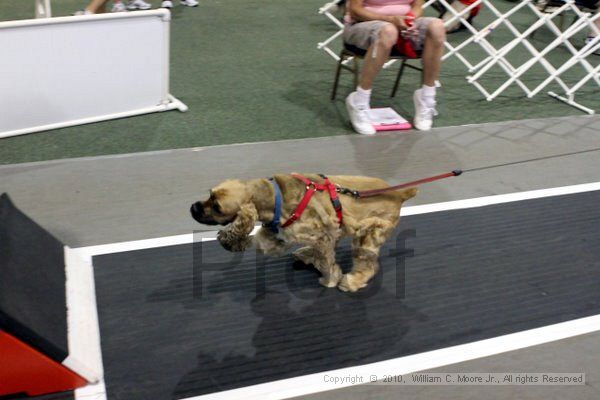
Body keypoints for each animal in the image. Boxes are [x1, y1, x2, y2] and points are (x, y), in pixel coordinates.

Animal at [190, 173, 414, 292]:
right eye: (210, 194)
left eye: (217, 207)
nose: (192, 207)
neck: (274, 196)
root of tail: (400, 193)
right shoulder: (279, 236)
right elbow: (259, 242)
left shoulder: (323, 235)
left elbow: (327, 261)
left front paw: (329, 279)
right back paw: (306, 254)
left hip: (368, 234)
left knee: (367, 265)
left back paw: (352, 281)